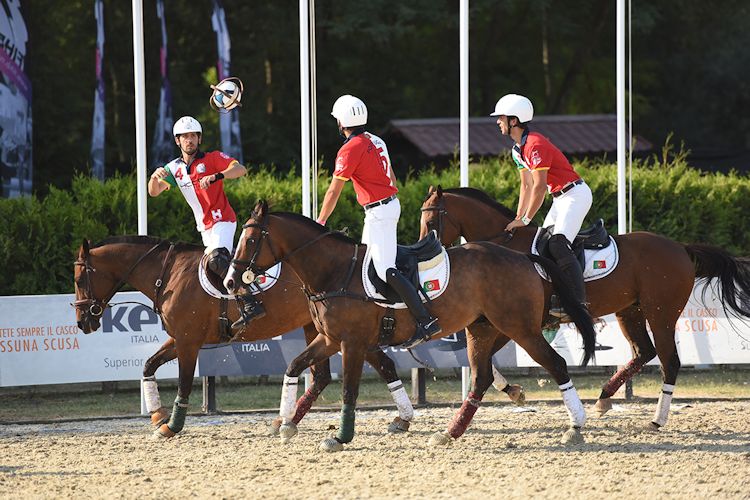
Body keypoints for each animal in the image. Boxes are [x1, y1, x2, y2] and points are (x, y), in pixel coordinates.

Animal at [71, 236, 424, 436]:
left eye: (78, 278)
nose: (81, 321)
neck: (168, 274)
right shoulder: (179, 339)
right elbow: (148, 365)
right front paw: (157, 415)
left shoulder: (187, 342)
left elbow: (183, 383)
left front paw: (171, 425)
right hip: (327, 332)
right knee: (335, 373)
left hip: (344, 334)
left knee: (369, 368)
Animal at [225, 201, 600, 452]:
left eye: (251, 240)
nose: (230, 282)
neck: (332, 271)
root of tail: (524, 257)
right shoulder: (330, 339)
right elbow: (294, 366)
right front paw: (286, 422)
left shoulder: (352, 343)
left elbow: (349, 390)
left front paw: (340, 437)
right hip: (481, 329)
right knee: (480, 378)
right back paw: (451, 432)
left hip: (521, 329)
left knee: (557, 364)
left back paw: (575, 426)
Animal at [420, 186, 750, 428]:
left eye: (431, 222)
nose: (427, 254)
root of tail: (681, 248)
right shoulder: (503, 321)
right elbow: (486, 360)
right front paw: (513, 391)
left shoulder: (518, 322)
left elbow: (489, 360)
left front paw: (511, 390)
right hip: (631, 311)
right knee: (644, 352)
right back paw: (604, 398)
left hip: (662, 313)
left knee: (669, 361)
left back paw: (657, 419)